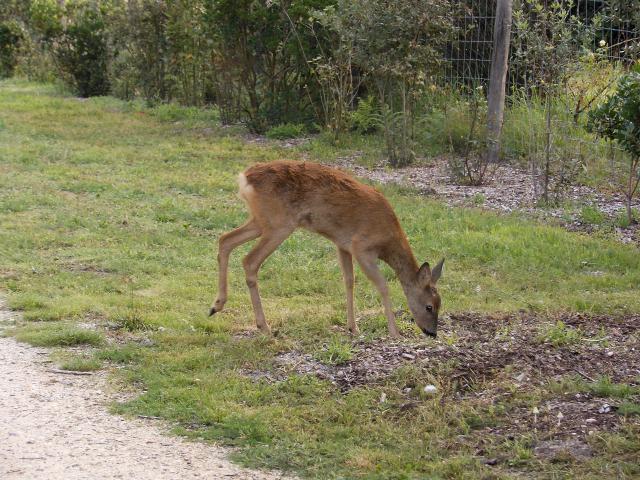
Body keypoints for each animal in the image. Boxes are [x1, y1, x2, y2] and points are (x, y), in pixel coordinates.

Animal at [210, 161, 444, 338]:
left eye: (440, 304)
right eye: (429, 306)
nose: (432, 332)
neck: (388, 238)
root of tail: (245, 177)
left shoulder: (343, 244)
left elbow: (349, 281)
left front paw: (353, 327)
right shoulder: (362, 247)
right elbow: (383, 285)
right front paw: (394, 332)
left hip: (261, 220)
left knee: (225, 239)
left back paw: (216, 306)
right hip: (278, 224)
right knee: (249, 260)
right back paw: (264, 327)